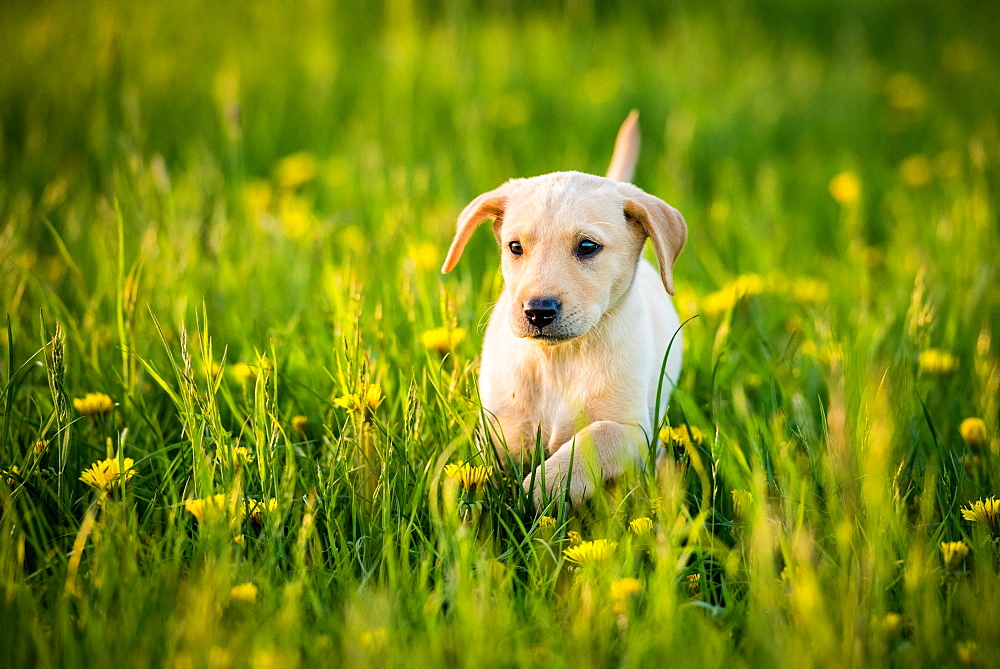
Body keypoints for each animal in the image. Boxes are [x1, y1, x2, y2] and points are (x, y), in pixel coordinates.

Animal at [442, 112, 684, 504]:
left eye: (587, 246)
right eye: (514, 247)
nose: (537, 311)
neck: (559, 360)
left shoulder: (637, 433)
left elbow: (594, 438)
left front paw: (540, 488)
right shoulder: (500, 424)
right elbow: (495, 458)